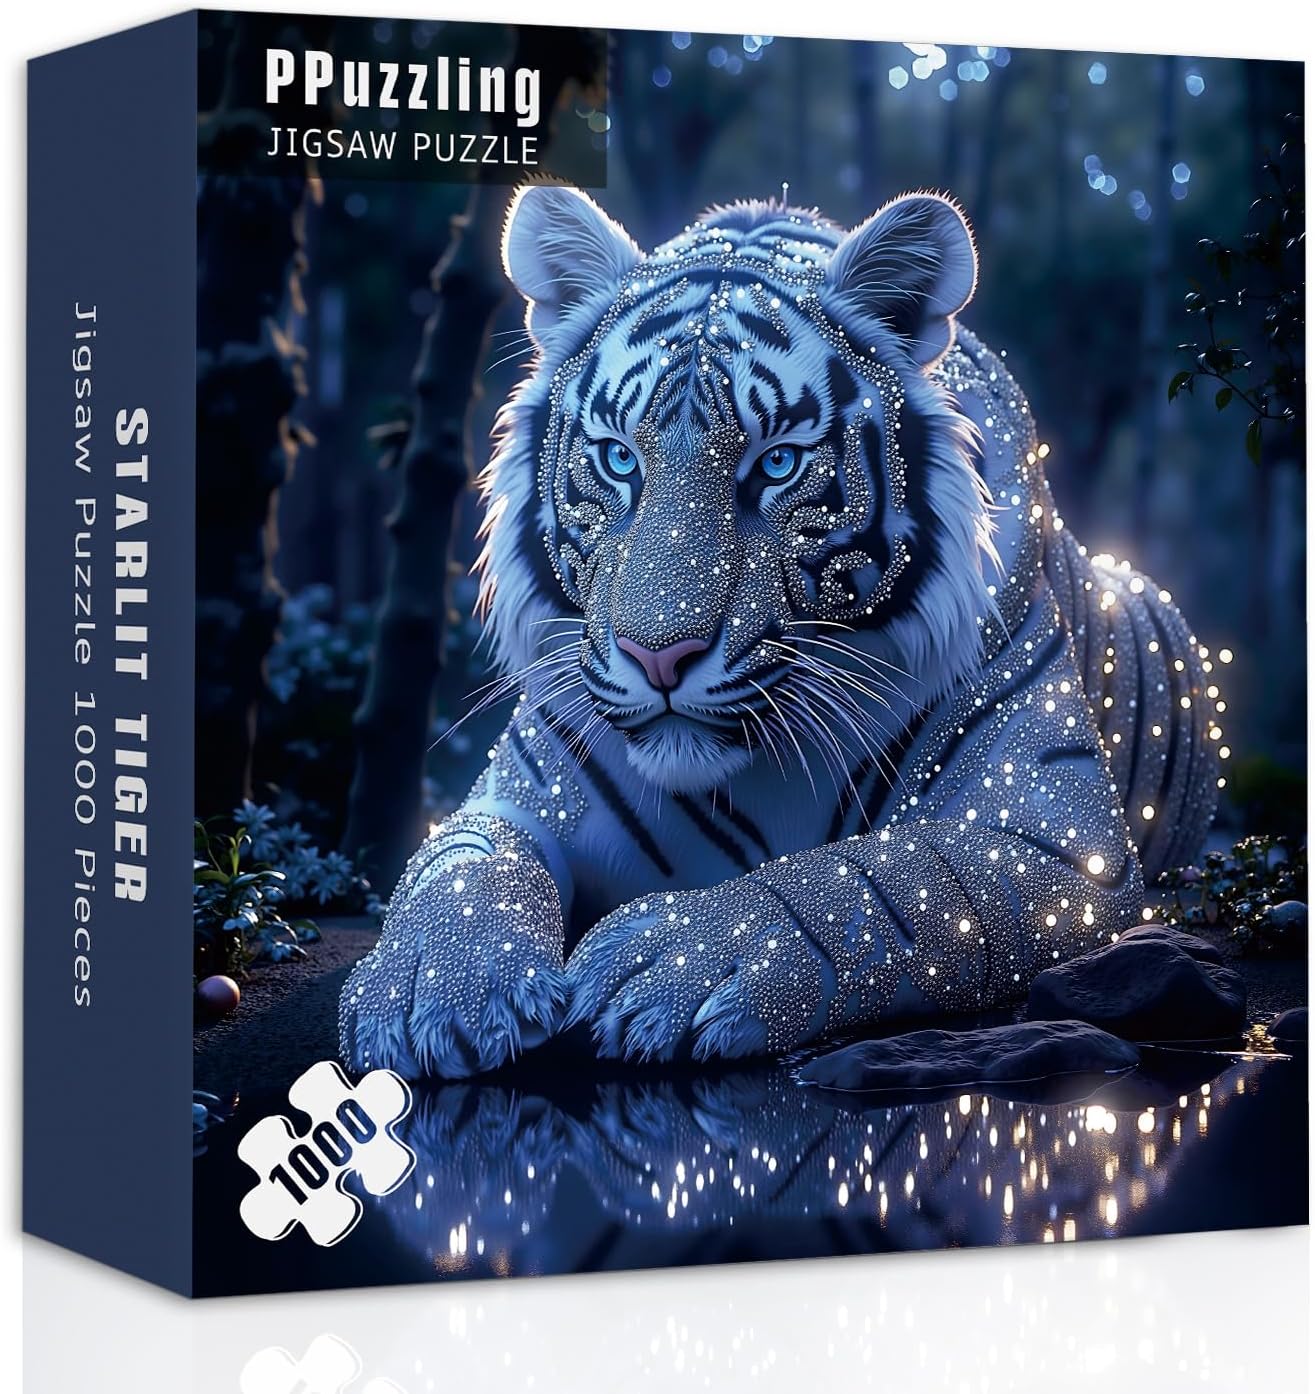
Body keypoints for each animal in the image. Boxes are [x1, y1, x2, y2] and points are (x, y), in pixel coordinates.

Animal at [339, 186, 1223, 1080]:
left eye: (775, 464)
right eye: (619, 460)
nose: (659, 657)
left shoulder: (1060, 832)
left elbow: (889, 879)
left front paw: (676, 960)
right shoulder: (523, 787)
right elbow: (462, 860)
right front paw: (429, 989)